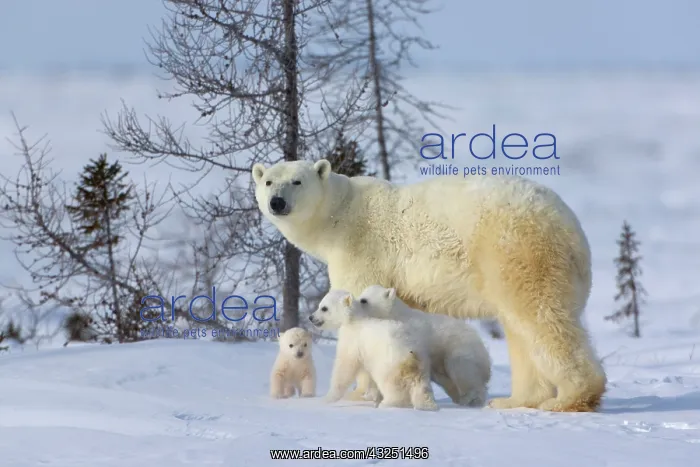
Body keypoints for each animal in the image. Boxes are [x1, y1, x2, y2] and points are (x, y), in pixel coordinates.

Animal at [308, 289, 439, 411]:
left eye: (324, 308)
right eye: (320, 305)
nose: (311, 317)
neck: (354, 320)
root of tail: (411, 354)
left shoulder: (353, 341)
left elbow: (345, 367)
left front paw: (326, 399)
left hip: (389, 363)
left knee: (391, 385)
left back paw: (388, 404)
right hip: (423, 363)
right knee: (422, 386)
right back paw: (427, 405)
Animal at [356, 284, 491, 407]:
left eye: (364, 300)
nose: (355, 301)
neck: (396, 315)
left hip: (460, 348)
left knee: (462, 370)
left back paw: (471, 399)